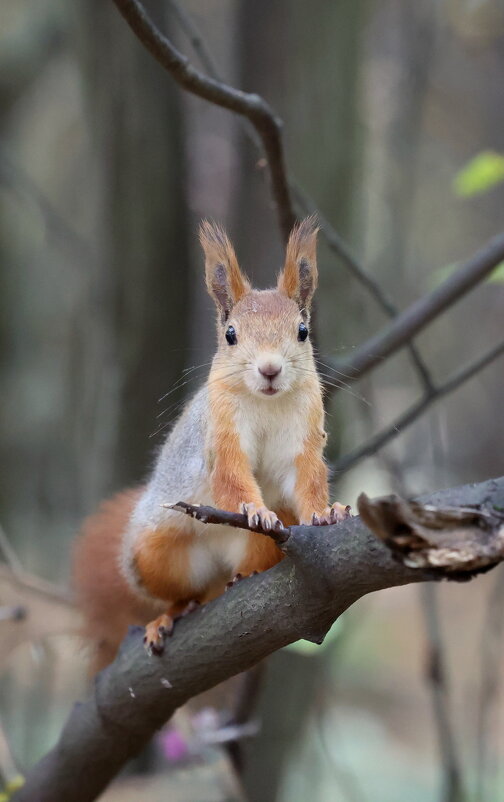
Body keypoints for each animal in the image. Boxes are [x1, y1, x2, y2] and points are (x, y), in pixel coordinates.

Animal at [74, 214, 350, 668]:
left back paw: (245, 575)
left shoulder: (305, 434)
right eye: (231, 334)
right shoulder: (220, 435)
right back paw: (170, 615)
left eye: (303, 331)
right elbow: (230, 476)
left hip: (257, 551)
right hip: (155, 552)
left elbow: (307, 478)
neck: (266, 403)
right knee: (185, 592)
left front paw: (327, 513)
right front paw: (255, 511)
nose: (270, 369)